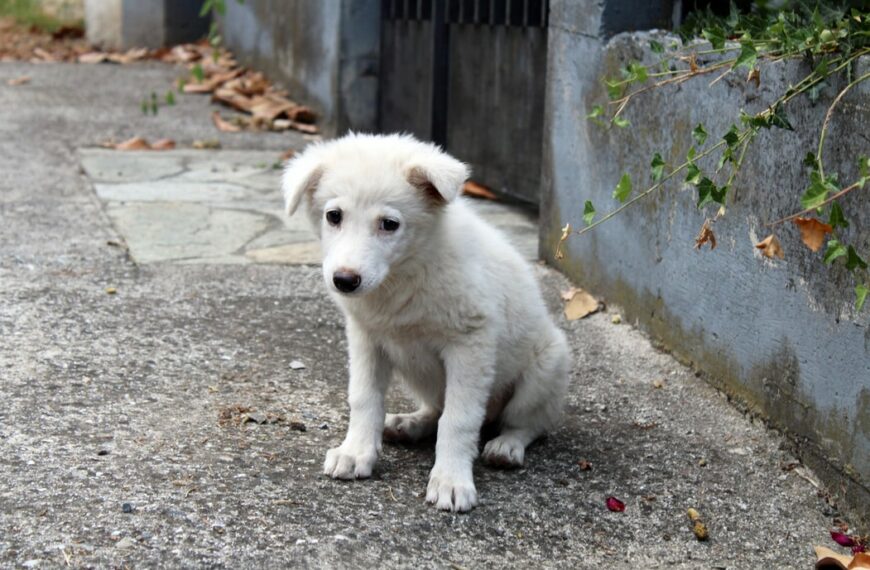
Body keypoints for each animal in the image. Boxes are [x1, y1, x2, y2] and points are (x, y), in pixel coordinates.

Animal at [286, 133, 572, 510]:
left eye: (389, 224)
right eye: (334, 216)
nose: (345, 281)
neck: (406, 272)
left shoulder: (470, 343)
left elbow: (458, 419)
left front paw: (451, 479)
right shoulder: (366, 338)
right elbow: (364, 398)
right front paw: (356, 451)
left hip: (547, 366)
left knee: (528, 423)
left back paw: (506, 446)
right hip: (421, 375)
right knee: (436, 408)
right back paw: (410, 424)